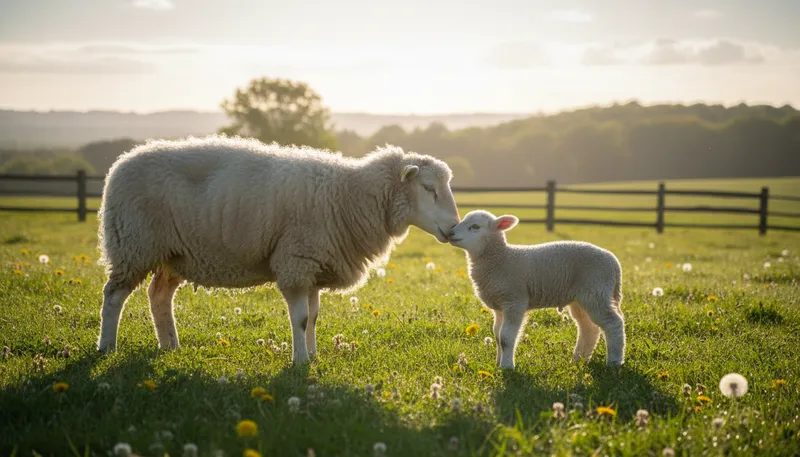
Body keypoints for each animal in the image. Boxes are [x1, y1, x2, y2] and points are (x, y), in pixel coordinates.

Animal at [96, 135, 461, 363]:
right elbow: (300, 318)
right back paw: (106, 347)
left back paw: (170, 345)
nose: (454, 228)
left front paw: (313, 355)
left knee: (159, 297)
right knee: (113, 296)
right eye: (429, 188)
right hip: (132, 244)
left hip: (174, 254)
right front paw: (299, 362)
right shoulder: (297, 261)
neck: (349, 195)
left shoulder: (313, 265)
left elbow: (314, 317)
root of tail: (121, 163)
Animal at [448, 210, 625, 369]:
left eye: (475, 226)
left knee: (613, 323)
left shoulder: (514, 301)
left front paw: (507, 366)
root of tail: (614, 262)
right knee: (589, 328)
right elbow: (497, 335)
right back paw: (578, 360)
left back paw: (614, 362)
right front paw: (498, 362)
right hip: (581, 298)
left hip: (596, 291)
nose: (450, 233)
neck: (500, 259)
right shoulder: (499, 307)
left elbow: (506, 337)